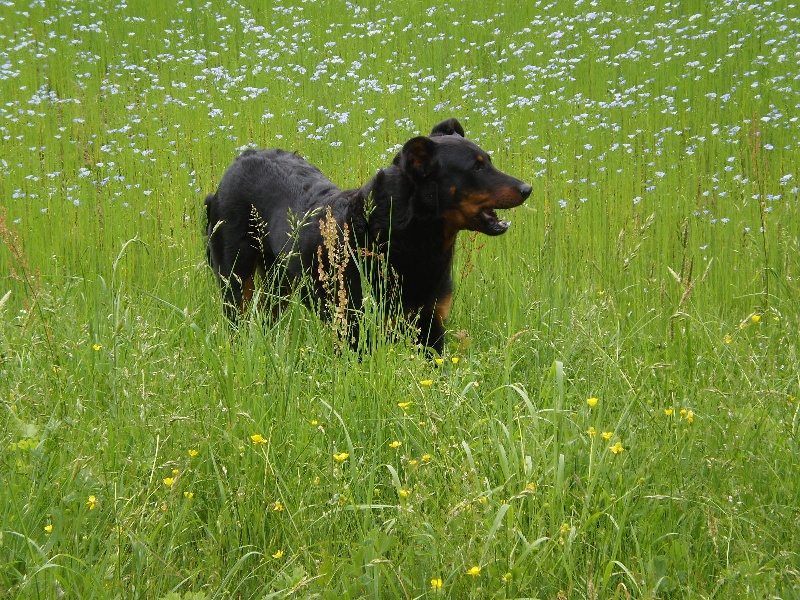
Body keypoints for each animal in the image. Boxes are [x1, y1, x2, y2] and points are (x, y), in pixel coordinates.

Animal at [206, 117, 532, 354]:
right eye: (476, 167)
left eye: (488, 160)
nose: (527, 188)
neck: (408, 236)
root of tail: (237, 162)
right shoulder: (352, 329)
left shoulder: (431, 327)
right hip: (236, 279)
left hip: (280, 281)